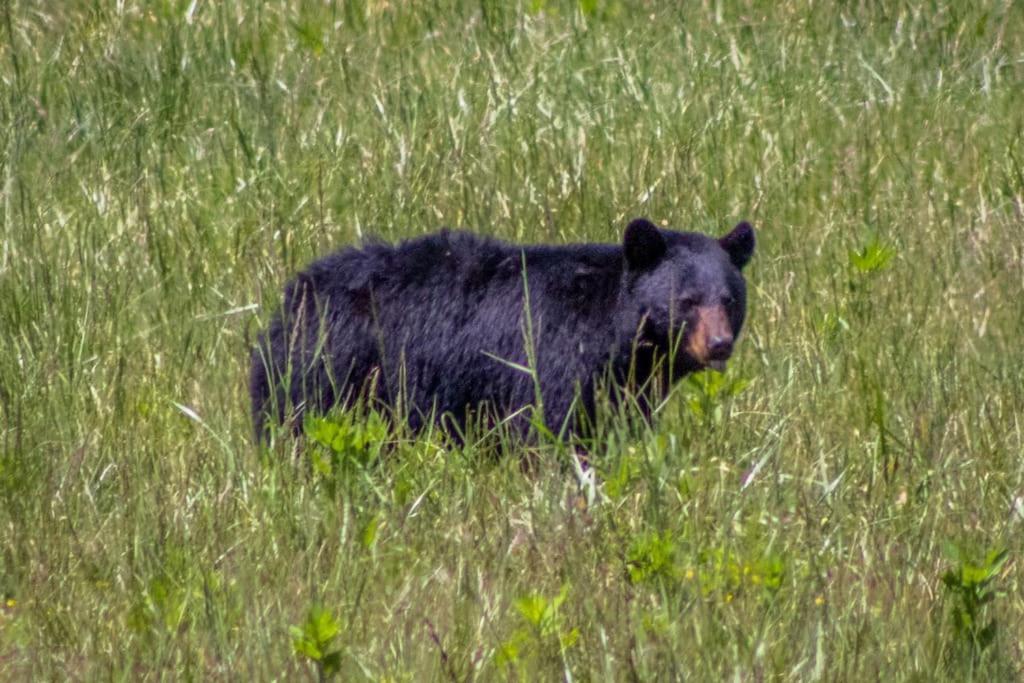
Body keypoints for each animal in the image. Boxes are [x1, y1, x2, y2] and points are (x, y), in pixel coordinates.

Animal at [251, 220, 757, 444]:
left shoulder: (625, 389)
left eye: (729, 300)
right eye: (687, 301)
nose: (719, 344)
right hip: (324, 373)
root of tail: (296, 290)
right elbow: (549, 431)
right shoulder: (551, 359)